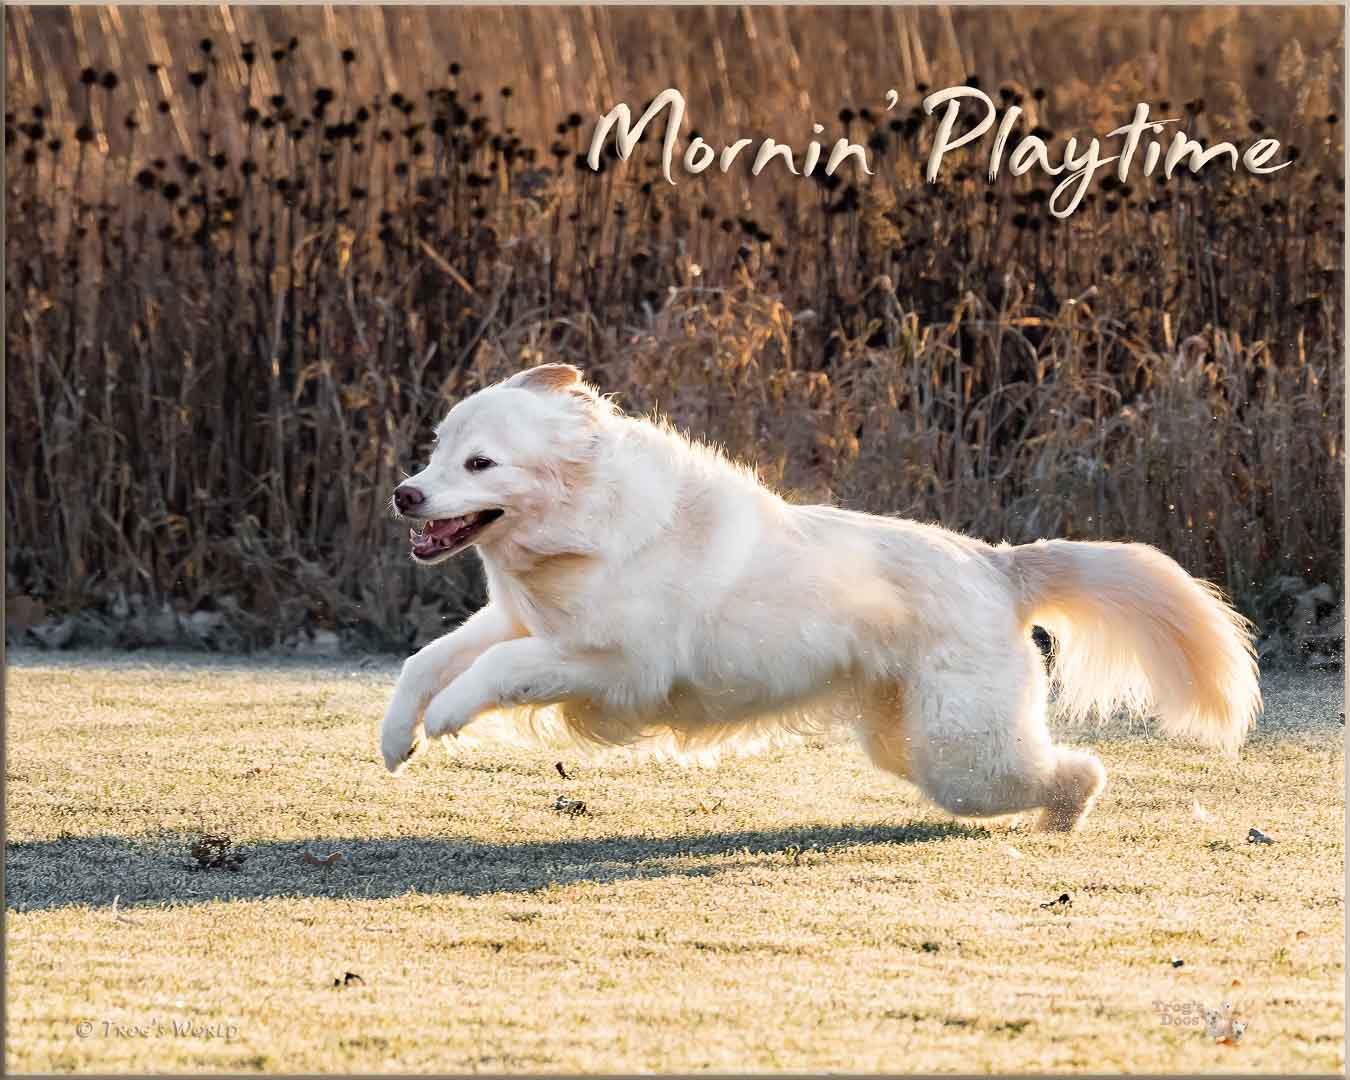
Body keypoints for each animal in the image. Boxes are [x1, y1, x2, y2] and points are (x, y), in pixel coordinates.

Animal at [378, 367, 1252, 831]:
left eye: (482, 463)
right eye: (437, 449)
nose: (404, 494)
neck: (583, 526)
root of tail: (997, 564)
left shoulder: (615, 665)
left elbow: (496, 671)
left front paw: (449, 718)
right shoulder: (514, 618)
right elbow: (429, 660)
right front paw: (396, 738)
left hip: (963, 758)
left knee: (1078, 770)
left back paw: (1062, 818)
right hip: (912, 745)